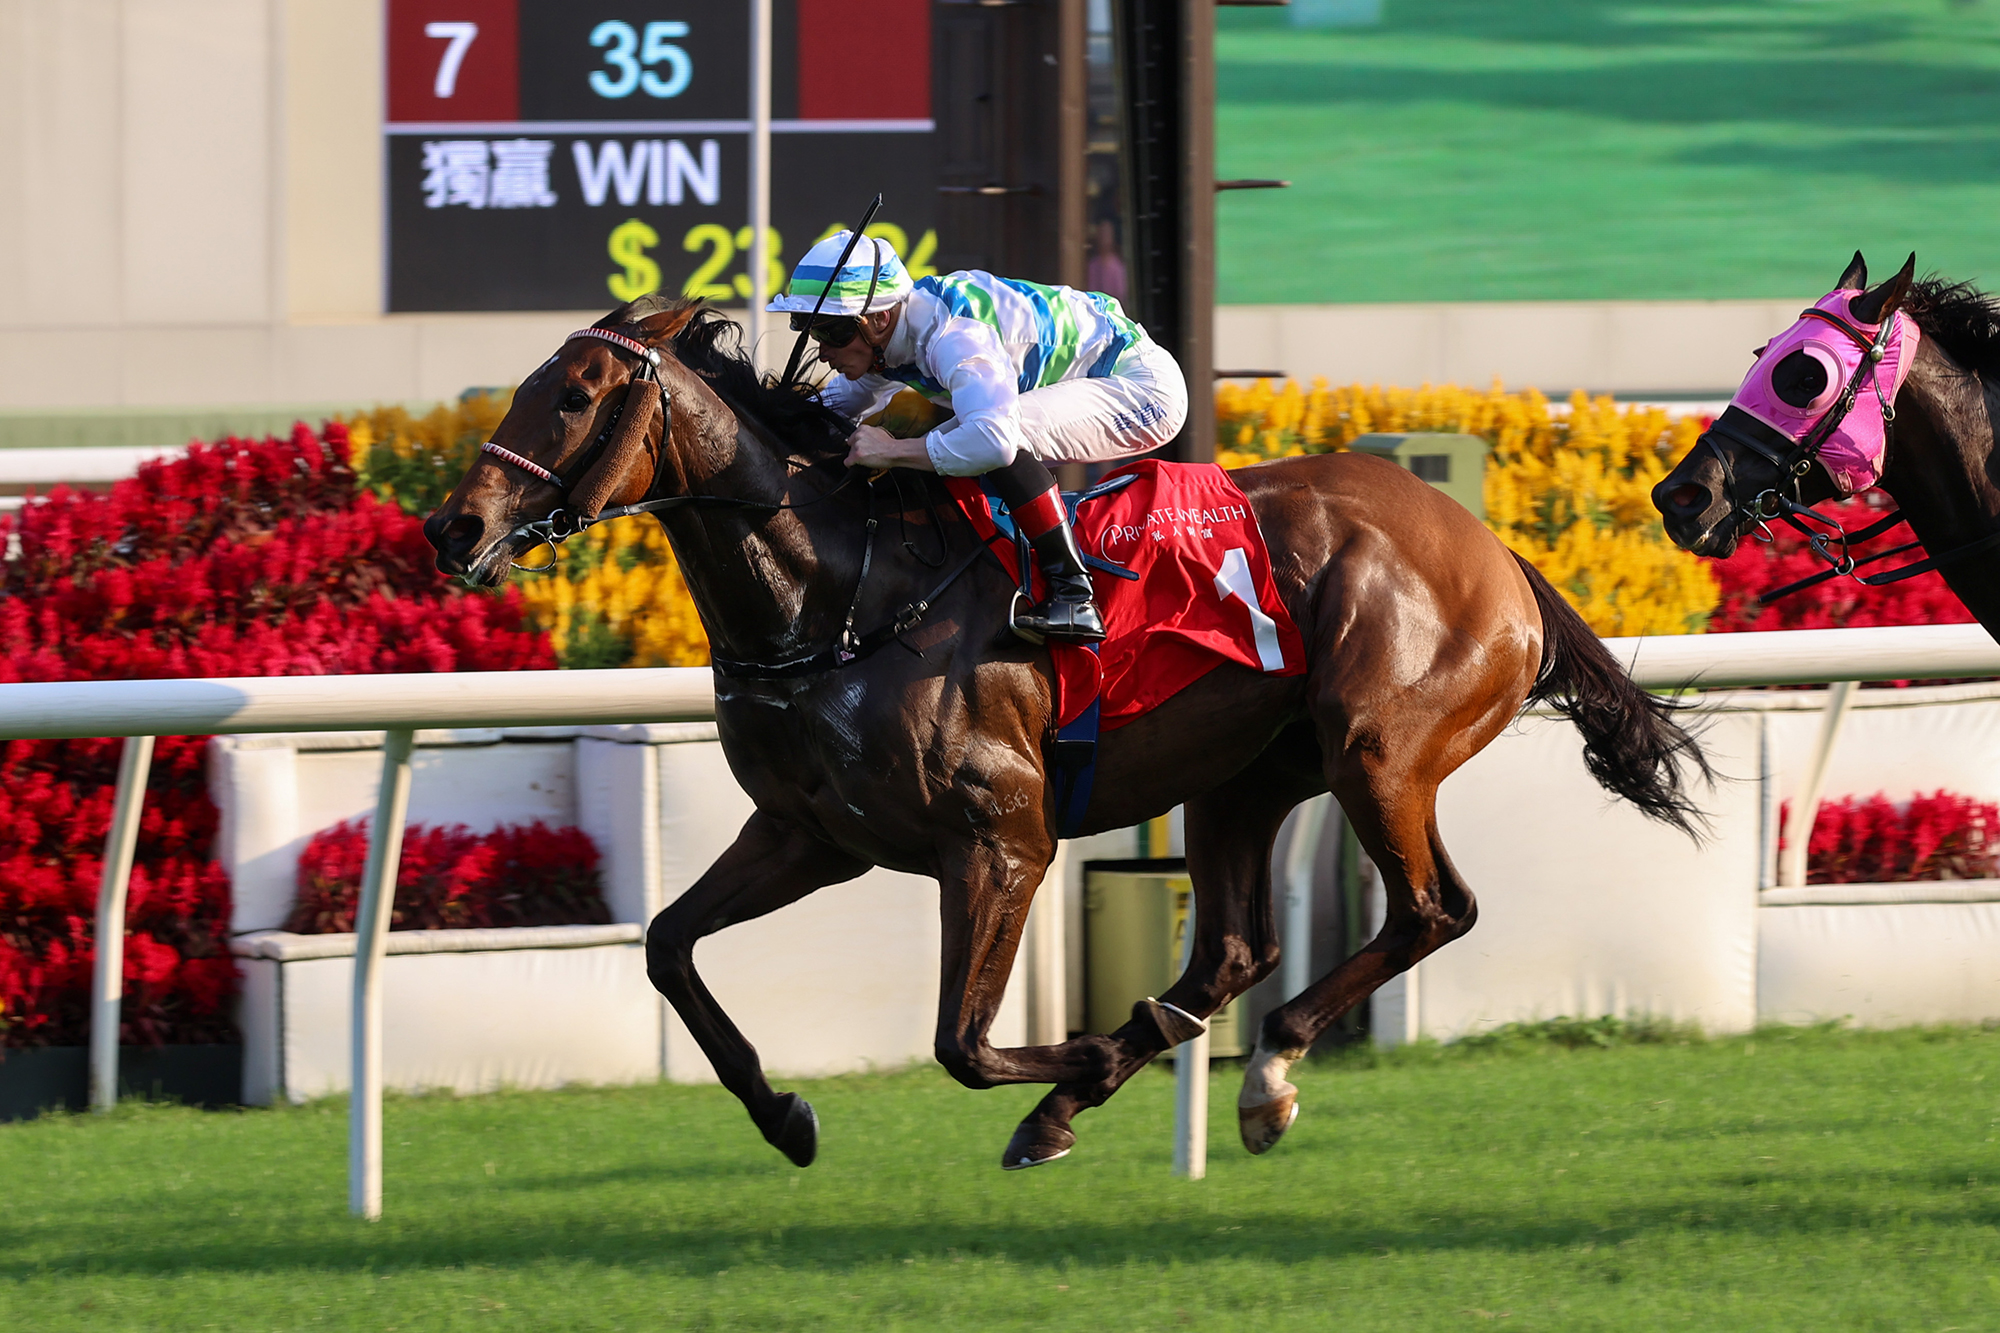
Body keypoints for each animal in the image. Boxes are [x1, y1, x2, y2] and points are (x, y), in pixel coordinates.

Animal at [426, 296, 1704, 1168]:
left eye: (574, 395)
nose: (454, 527)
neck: (837, 593)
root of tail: (1491, 551)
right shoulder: (809, 834)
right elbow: (664, 947)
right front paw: (784, 1113)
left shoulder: (1003, 837)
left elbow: (959, 1040)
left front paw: (1084, 1052)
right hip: (1240, 778)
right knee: (1231, 947)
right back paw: (1131, 1082)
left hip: (1378, 749)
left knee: (1434, 909)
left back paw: (1253, 1074)